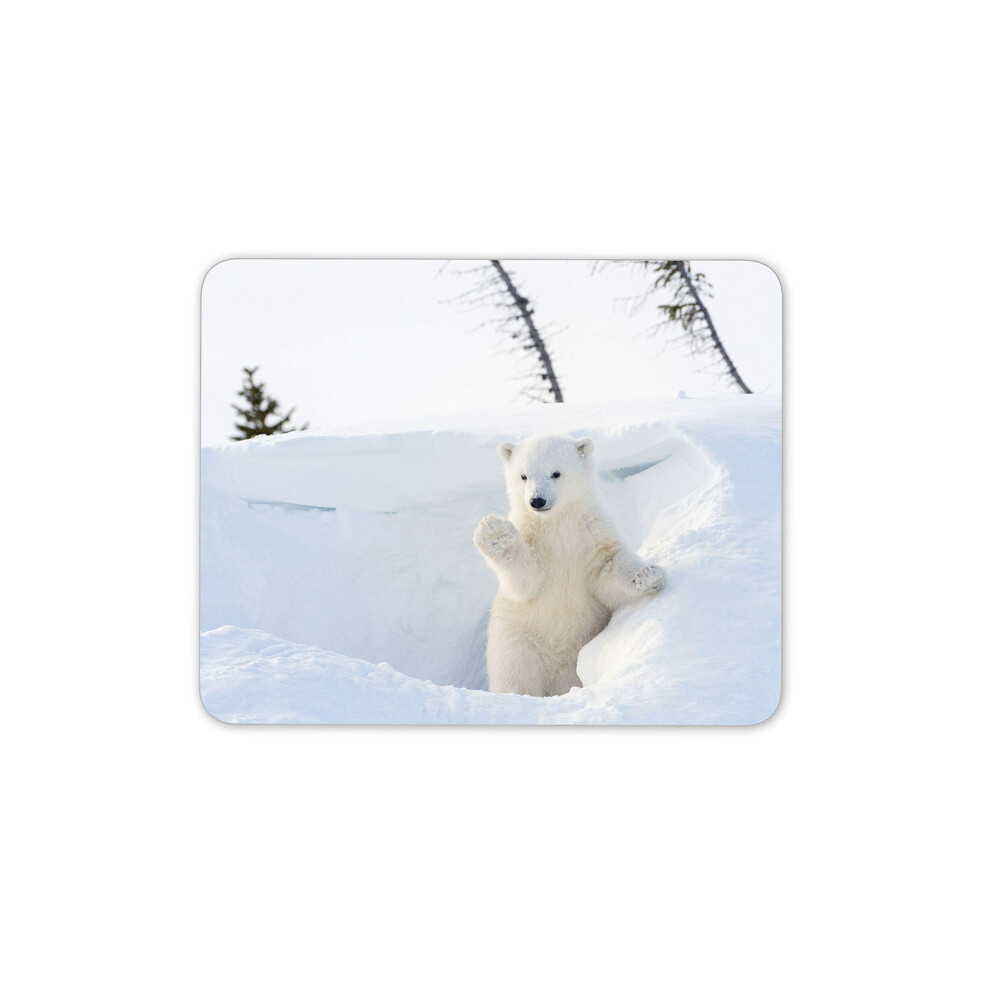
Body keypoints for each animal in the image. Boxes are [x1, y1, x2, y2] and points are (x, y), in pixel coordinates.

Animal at [473, 432, 666, 697]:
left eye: (556, 473)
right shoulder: (534, 540)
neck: (557, 523)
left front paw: (648, 575)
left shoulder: (592, 533)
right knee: (516, 677)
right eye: (523, 476)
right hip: (518, 643)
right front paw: (495, 533)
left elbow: (608, 568)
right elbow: (526, 580)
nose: (537, 500)